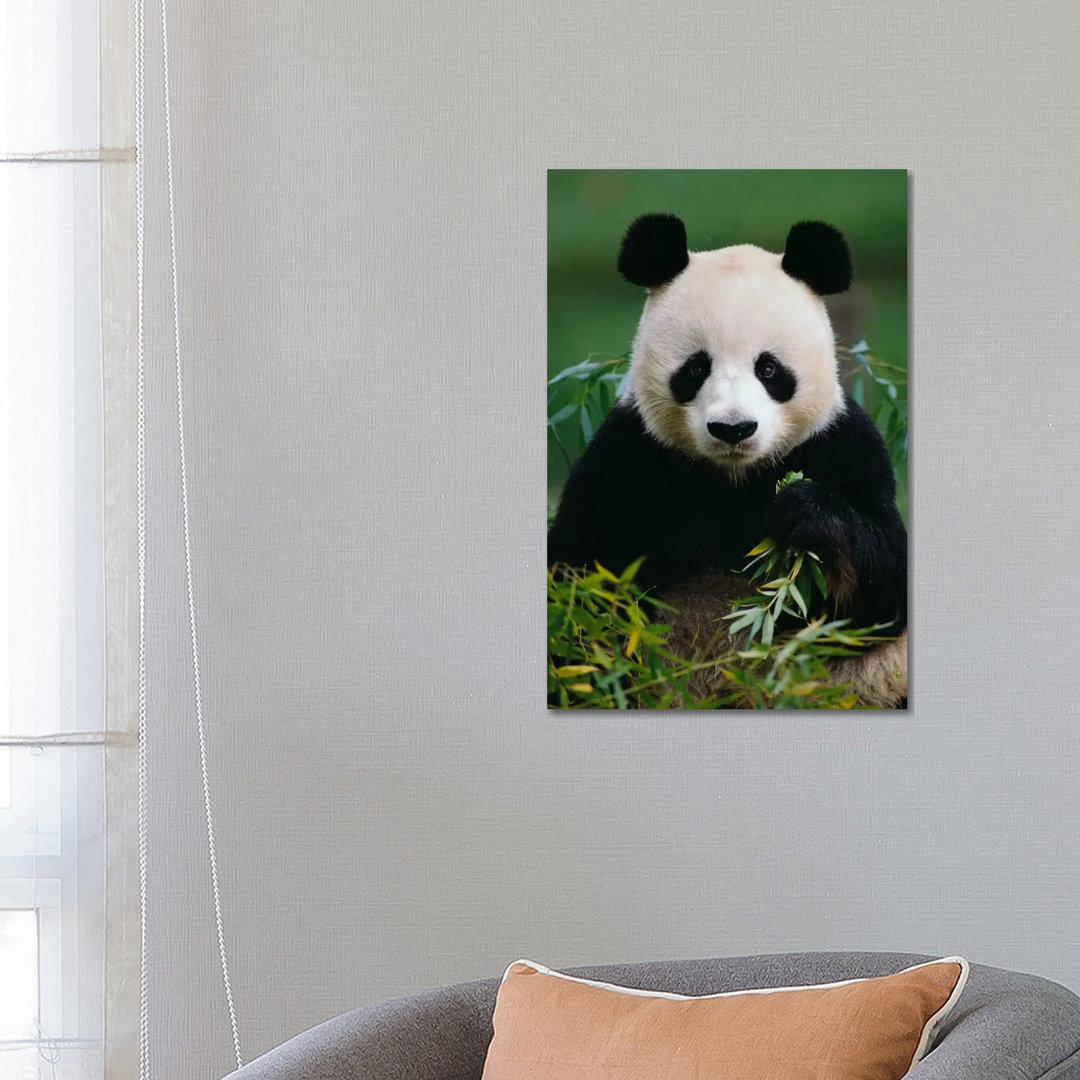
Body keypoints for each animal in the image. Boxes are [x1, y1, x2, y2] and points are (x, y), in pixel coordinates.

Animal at [547, 214, 907, 708]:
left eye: (769, 369)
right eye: (696, 368)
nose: (733, 429)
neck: (733, 476)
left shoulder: (843, 446)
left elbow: (884, 588)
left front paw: (804, 510)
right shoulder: (628, 456)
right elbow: (577, 580)